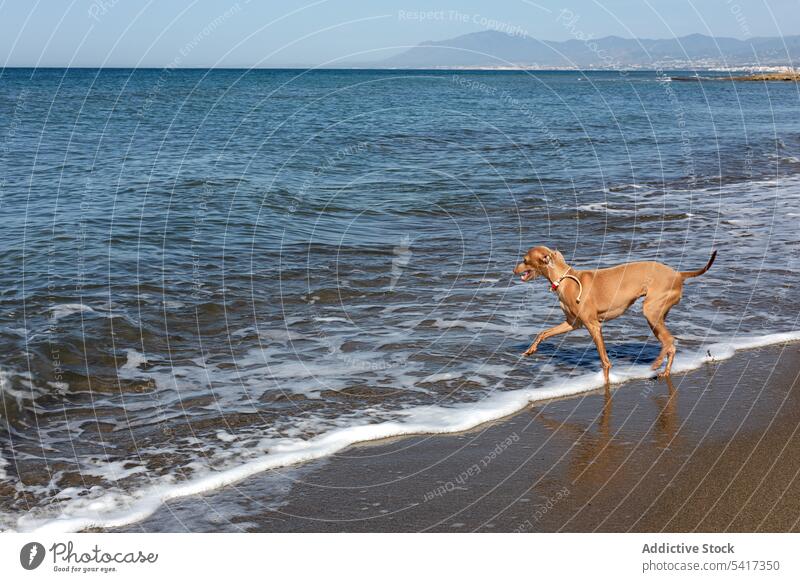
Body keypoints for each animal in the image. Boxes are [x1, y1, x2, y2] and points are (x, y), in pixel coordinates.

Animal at [516, 246, 716, 384]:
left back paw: (656, 364)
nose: (513, 269)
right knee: (670, 345)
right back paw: (665, 371)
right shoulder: (573, 323)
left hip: (650, 312)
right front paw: (530, 350)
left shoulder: (593, 325)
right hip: (657, 317)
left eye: (525, 260)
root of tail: (678, 274)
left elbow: (605, 361)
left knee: (669, 340)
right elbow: (543, 333)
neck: (566, 280)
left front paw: (605, 383)